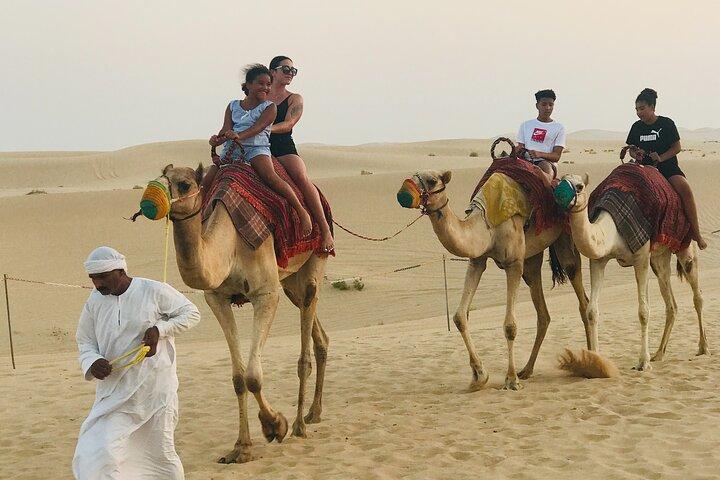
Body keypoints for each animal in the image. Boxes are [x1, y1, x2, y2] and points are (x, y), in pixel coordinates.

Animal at [161, 163, 329, 463]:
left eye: (184, 184)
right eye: (162, 178)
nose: (154, 201)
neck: (229, 246)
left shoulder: (266, 294)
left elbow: (253, 376)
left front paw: (275, 425)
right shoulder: (217, 298)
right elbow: (239, 379)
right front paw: (241, 447)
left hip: (313, 260)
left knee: (305, 348)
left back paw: (300, 424)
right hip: (290, 282)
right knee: (318, 334)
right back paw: (314, 413)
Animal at [401, 170, 590, 390]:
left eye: (432, 181)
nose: (404, 191)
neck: (486, 225)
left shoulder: (513, 263)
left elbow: (510, 326)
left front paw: (511, 380)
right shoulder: (477, 260)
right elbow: (459, 317)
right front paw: (479, 376)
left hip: (565, 239)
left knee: (581, 296)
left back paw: (591, 360)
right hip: (532, 259)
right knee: (543, 313)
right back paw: (527, 370)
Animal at [557, 173, 709, 371]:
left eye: (580, 186)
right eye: (560, 180)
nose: (559, 195)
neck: (613, 229)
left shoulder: (641, 256)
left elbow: (643, 312)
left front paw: (643, 362)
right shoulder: (598, 260)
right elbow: (591, 311)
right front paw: (596, 361)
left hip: (685, 246)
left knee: (697, 295)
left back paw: (703, 347)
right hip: (659, 257)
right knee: (671, 303)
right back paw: (659, 353)